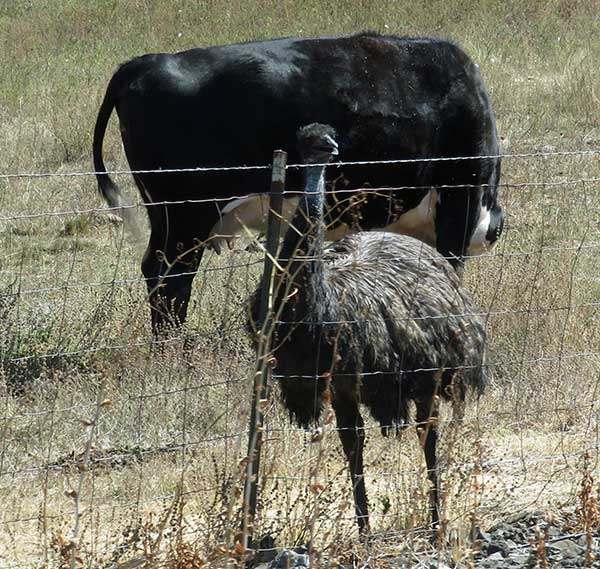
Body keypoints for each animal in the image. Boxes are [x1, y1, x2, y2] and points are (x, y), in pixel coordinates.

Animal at [94, 32, 504, 332]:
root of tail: (146, 62)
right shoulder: (460, 199)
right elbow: (450, 268)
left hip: (164, 215)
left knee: (156, 272)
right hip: (187, 215)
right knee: (171, 279)